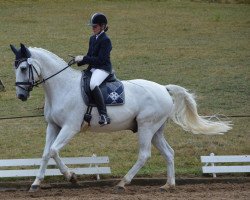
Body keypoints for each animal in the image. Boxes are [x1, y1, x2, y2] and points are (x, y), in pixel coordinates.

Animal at [10, 44, 231, 192]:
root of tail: (163, 88)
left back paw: (123, 183)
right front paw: (36, 183)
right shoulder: (53, 126)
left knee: (144, 155)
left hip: (146, 126)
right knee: (169, 153)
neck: (62, 87)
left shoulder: (70, 127)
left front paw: (71, 177)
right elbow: (46, 153)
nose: (20, 96)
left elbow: (54, 151)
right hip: (155, 130)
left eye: (23, 68)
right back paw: (168, 185)